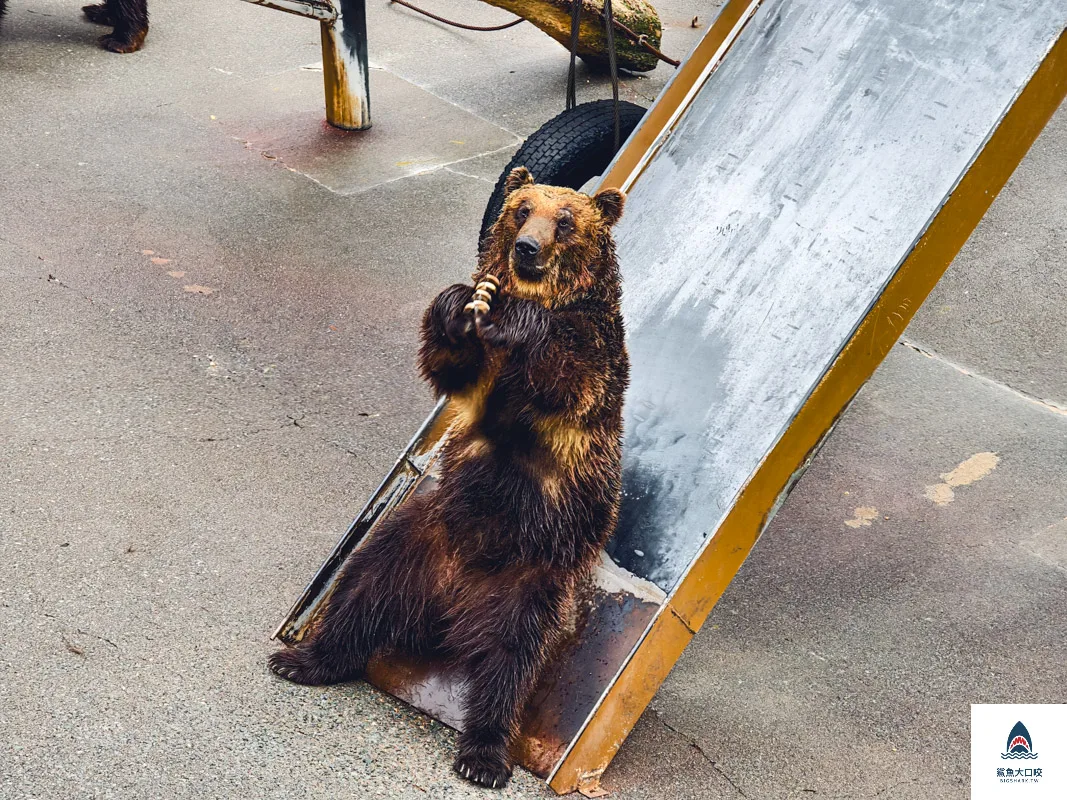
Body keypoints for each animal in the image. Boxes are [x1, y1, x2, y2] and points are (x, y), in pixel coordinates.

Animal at [269, 166, 629, 789]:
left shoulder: (593, 354)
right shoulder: (478, 379)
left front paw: (511, 318)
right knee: (360, 590)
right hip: (416, 535)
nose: (526, 248)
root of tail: (453, 603)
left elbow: (568, 375)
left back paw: (483, 755)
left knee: (510, 661)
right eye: (520, 209)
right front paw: (459, 303)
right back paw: (304, 659)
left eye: (564, 220)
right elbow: (450, 365)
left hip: (533, 574)